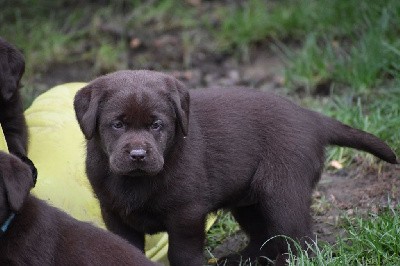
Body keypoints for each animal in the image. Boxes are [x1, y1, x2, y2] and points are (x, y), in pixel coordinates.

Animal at [74, 69, 396, 264]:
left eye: (156, 125)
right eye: (117, 124)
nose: (139, 154)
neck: (136, 181)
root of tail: (311, 118)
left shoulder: (187, 214)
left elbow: (183, 252)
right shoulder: (113, 213)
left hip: (282, 194)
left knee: (300, 241)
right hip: (249, 201)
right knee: (264, 237)